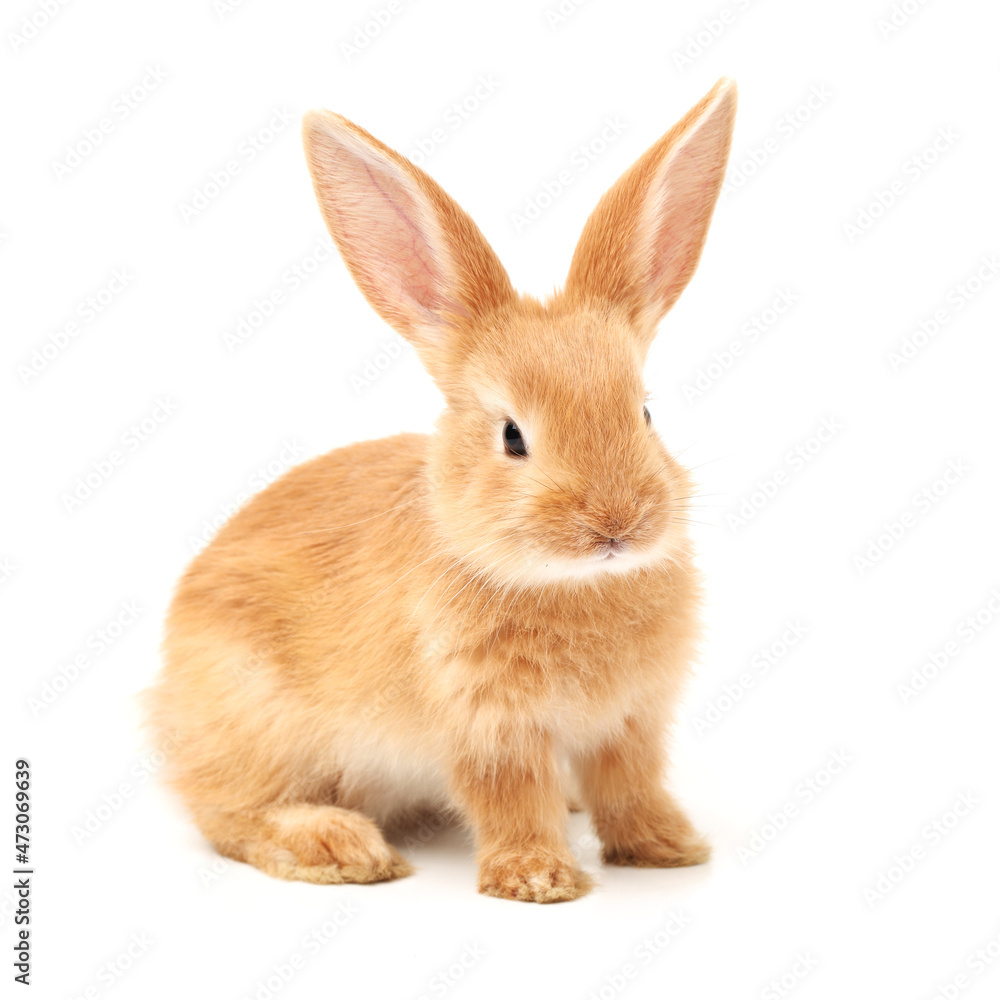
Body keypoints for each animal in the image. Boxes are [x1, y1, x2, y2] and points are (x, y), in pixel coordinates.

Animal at [146, 77, 737, 903]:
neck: (569, 583)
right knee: (226, 811)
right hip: (252, 714)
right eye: (512, 436)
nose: (616, 524)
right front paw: (537, 879)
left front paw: (667, 847)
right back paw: (336, 846)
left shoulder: (631, 721)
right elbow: (510, 795)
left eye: (645, 413)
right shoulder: (487, 724)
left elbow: (630, 784)